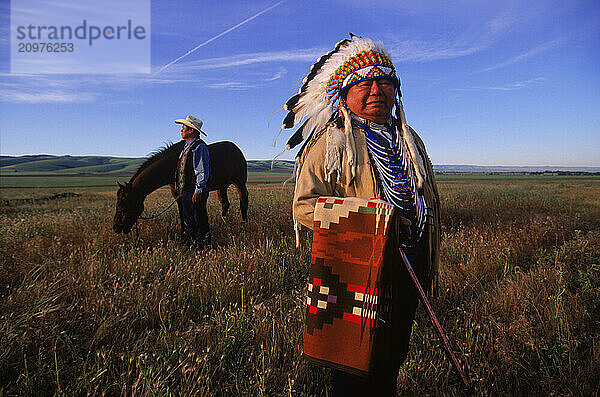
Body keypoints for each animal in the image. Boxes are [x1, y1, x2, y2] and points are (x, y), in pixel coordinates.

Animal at [113, 139, 247, 234]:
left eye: (123, 204)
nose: (115, 227)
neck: (172, 164)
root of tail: (237, 149)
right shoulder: (177, 193)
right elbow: (182, 213)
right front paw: (183, 232)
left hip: (239, 182)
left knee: (243, 201)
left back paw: (243, 225)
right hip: (222, 186)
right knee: (225, 203)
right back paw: (225, 223)